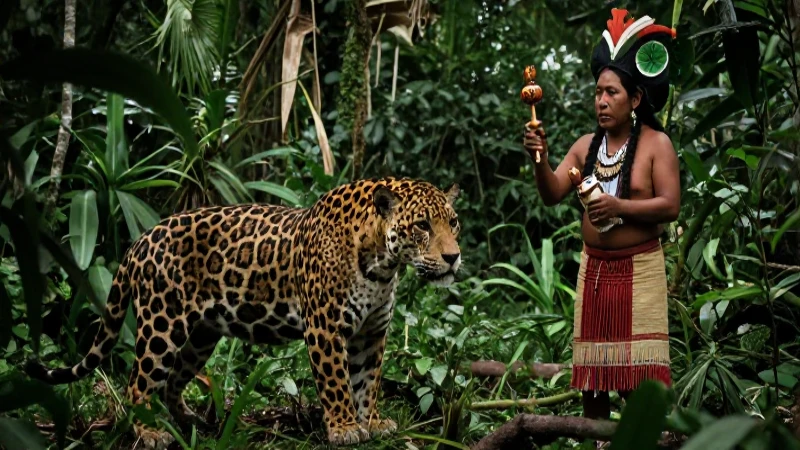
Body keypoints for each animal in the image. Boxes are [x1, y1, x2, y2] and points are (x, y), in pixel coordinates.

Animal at [25, 176, 462, 448]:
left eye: (453, 222)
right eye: (422, 225)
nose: (453, 257)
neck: (381, 264)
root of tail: (141, 239)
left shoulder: (372, 333)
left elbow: (367, 382)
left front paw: (371, 422)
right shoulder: (325, 327)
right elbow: (337, 381)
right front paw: (343, 429)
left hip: (200, 334)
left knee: (171, 381)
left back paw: (191, 422)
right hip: (162, 324)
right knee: (138, 382)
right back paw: (148, 432)